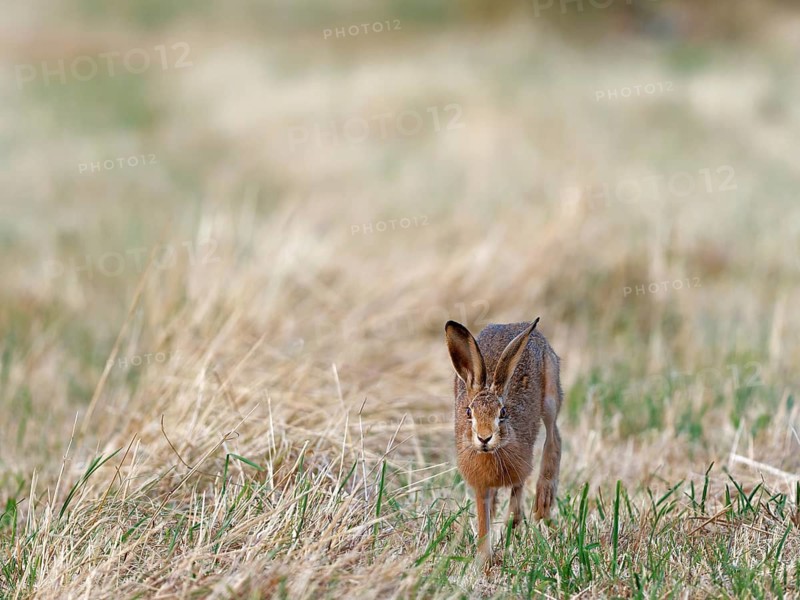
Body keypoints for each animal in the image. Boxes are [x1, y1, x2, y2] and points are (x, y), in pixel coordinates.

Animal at [444, 317, 562, 562]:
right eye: (468, 412)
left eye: (503, 412)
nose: (484, 438)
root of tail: (519, 324)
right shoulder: (480, 485)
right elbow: (483, 518)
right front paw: (483, 558)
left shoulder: (521, 467)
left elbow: (517, 494)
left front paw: (512, 527)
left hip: (551, 396)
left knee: (554, 437)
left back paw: (543, 501)